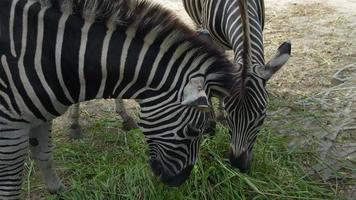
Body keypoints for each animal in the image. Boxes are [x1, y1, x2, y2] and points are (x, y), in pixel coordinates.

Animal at [0, 0, 241, 197]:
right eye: (194, 130)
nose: (176, 182)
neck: (55, 54)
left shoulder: (40, 117)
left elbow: (44, 153)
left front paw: (59, 192)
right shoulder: (11, 127)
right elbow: (10, 185)